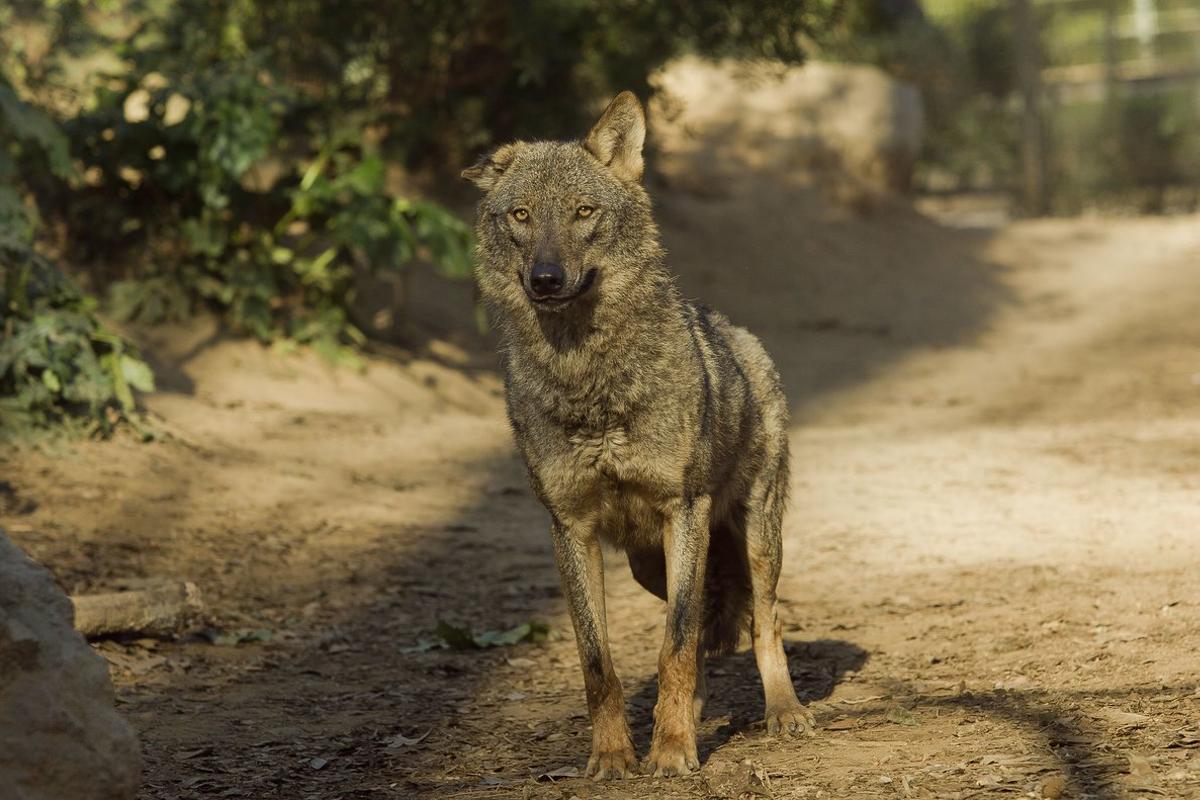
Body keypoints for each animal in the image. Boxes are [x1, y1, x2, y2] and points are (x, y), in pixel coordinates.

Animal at [463, 91, 812, 779]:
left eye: (584, 212)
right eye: (521, 215)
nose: (545, 278)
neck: (588, 380)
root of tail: (746, 339)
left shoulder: (685, 509)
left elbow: (673, 646)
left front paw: (673, 751)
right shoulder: (569, 527)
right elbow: (600, 661)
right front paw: (614, 755)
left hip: (754, 537)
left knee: (762, 621)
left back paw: (782, 713)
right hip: (650, 564)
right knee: (701, 628)